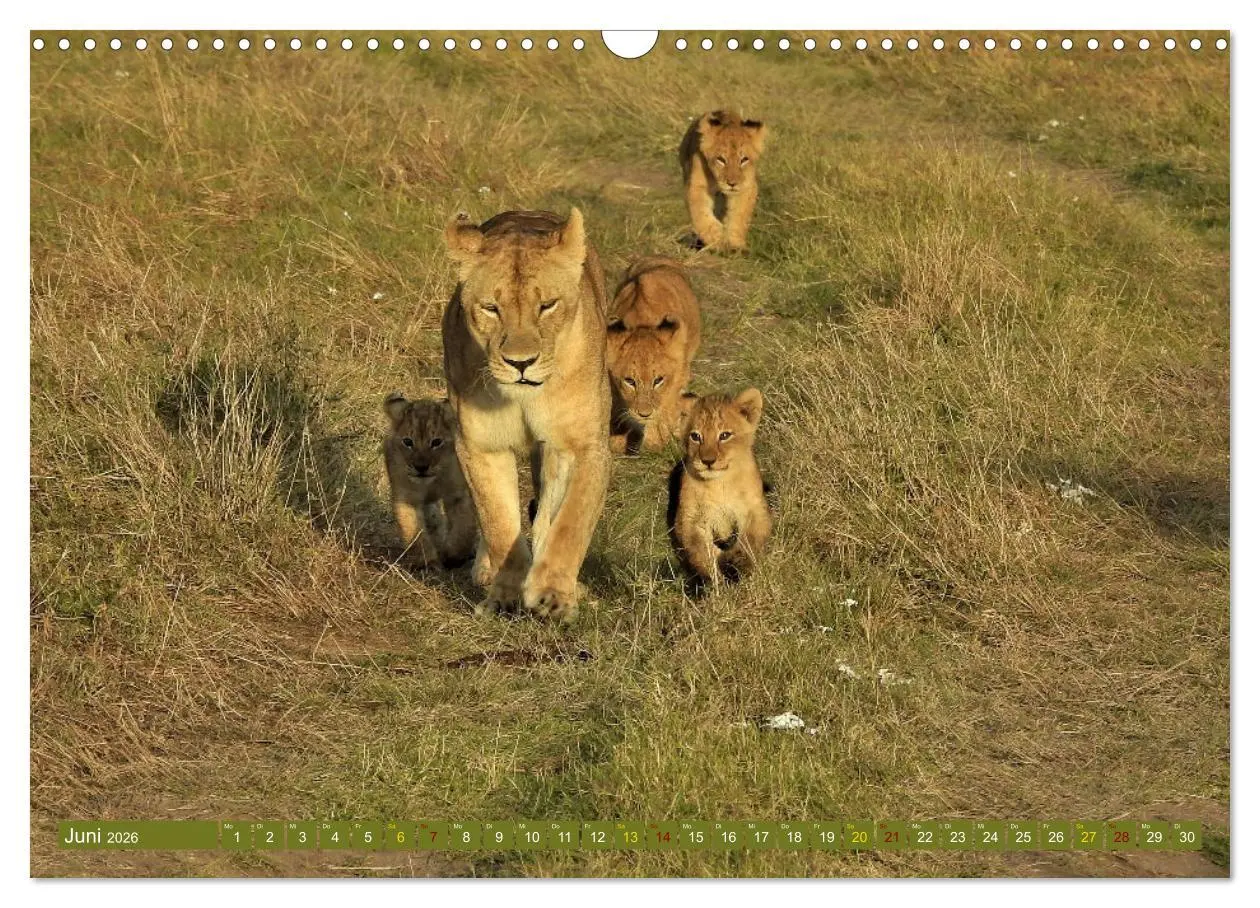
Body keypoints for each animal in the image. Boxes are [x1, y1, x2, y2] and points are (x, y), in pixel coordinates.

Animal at [383, 392, 478, 568]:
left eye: (436, 442)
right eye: (408, 442)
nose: (421, 467)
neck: (430, 483)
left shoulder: (457, 493)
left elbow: (464, 525)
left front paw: (454, 556)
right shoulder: (406, 497)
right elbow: (412, 529)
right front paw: (426, 562)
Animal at [442, 208, 612, 623]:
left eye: (547, 305)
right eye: (491, 308)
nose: (521, 363)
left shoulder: (587, 446)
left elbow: (571, 522)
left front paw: (552, 594)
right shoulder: (478, 445)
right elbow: (498, 521)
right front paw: (504, 596)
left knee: (548, 510)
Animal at [606, 257, 702, 454]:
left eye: (658, 380)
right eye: (630, 381)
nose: (644, 414)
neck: (642, 321)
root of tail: (660, 257)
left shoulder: (679, 373)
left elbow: (665, 408)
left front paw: (655, 443)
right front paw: (618, 440)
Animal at [667, 388, 772, 586]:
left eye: (724, 435)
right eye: (695, 436)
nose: (708, 461)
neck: (719, 483)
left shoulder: (755, 509)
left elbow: (750, 540)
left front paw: (735, 563)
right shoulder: (689, 519)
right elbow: (700, 550)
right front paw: (715, 579)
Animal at [678, 110, 768, 252]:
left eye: (744, 160)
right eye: (721, 159)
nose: (732, 183)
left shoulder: (746, 188)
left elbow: (739, 216)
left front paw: (735, 245)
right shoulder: (697, 186)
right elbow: (702, 215)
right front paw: (718, 239)